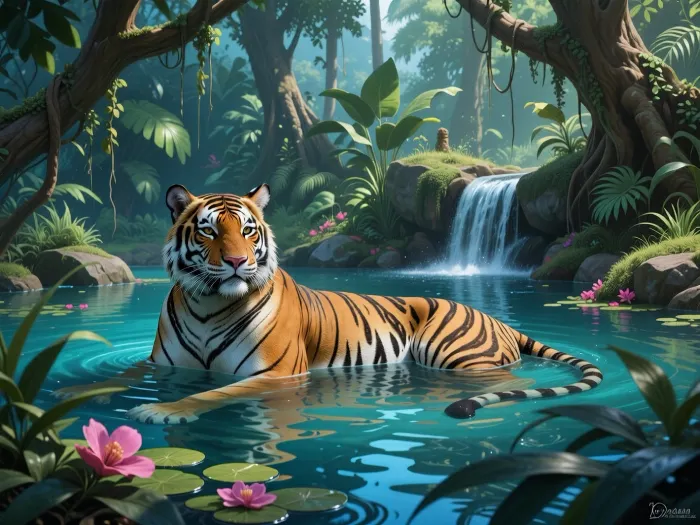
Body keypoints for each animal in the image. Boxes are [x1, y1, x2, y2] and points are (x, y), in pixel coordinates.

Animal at [55, 183, 604, 425]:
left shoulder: (276, 374)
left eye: (247, 230)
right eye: (209, 231)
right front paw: (72, 393)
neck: (208, 304)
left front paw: (163, 410)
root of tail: (500, 321)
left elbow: (212, 394)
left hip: (453, 353)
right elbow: (118, 376)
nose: (235, 262)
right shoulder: (158, 364)